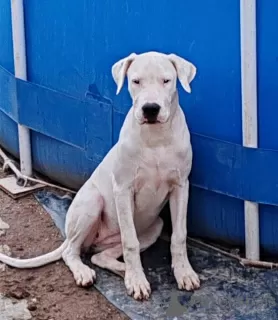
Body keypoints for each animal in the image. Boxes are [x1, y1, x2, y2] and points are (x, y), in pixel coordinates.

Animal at [0, 50, 200, 300]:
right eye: (136, 81)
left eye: (167, 80)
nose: (150, 109)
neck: (156, 137)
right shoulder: (123, 189)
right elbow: (130, 242)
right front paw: (136, 281)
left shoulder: (181, 187)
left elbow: (179, 236)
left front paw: (184, 273)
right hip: (91, 204)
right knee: (71, 251)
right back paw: (89, 272)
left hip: (155, 225)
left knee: (100, 256)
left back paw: (123, 270)